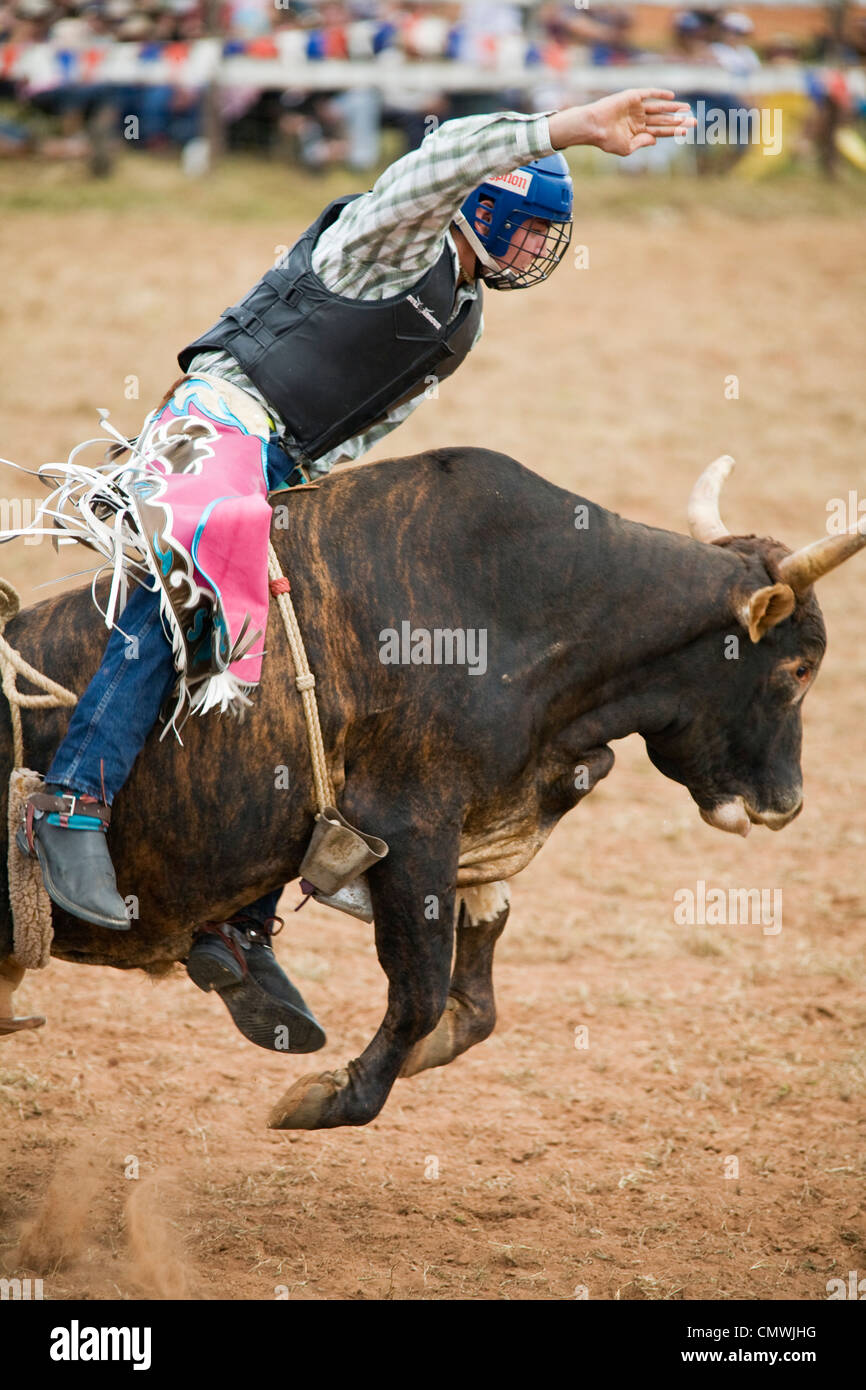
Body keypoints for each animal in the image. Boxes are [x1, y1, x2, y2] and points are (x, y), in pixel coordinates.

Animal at [0, 450, 861, 1134]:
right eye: (797, 669)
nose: (787, 803)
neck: (523, 612)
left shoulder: (471, 827)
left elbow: (474, 985)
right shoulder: (408, 827)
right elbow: (417, 987)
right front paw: (328, 1097)